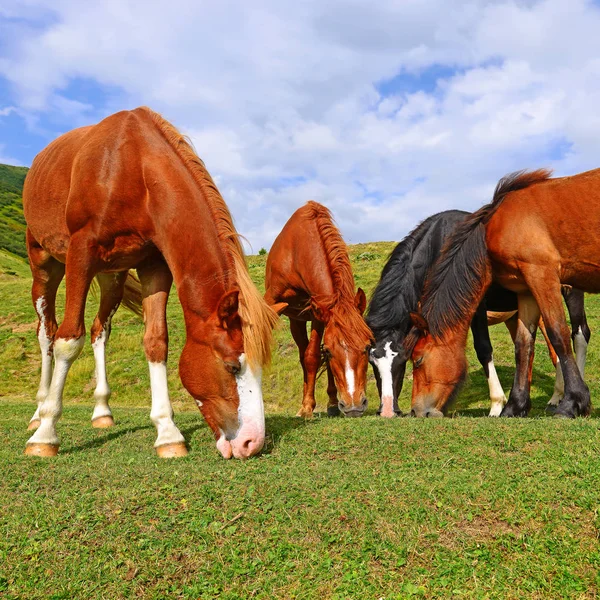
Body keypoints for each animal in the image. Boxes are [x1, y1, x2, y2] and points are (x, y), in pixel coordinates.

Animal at [22, 105, 278, 458]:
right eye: (231, 367)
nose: (252, 443)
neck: (134, 169)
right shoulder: (80, 254)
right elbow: (67, 341)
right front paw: (46, 435)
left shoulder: (154, 266)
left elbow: (156, 342)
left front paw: (168, 433)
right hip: (44, 264)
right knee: (47, 333)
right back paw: (38, 413)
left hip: (112, 276)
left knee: (99, 331)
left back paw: (102, 412)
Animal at [264, 202, 372, 418]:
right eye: (331, 351)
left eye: (366, 347)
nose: (354, 406)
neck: (297, 253)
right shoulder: (270, 301)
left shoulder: (319, 314)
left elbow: (313, 356)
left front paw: (311, 405)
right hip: (295, 320)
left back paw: (331, 403)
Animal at [368, 211, 588, 418]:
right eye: (372, 363)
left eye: (403, 360)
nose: (388, 411)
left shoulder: (475, 307)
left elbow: (483, 349)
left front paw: (497, 405)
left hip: (569, 291)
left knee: (579, 334)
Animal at [408, 169, 596, 420]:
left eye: (418, 360)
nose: (416, 411)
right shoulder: (527, 288)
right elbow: (523, 345)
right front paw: (516, 406)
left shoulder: (538, 276)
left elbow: (557, 335)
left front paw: (573, 401)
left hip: (569, 290)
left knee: (578, 334)